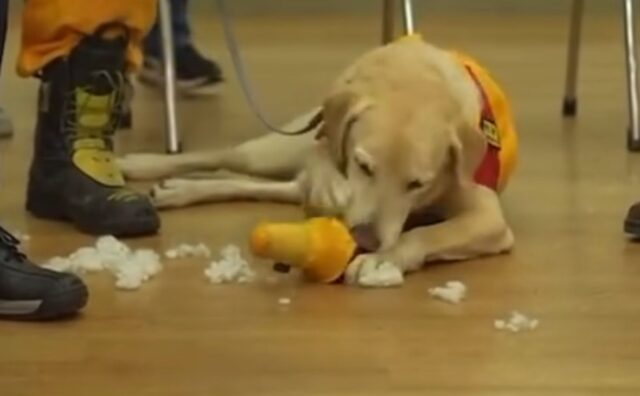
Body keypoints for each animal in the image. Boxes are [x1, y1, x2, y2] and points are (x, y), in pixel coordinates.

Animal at [121, 34, 520, 282]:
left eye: (417, 183)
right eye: (363, 165)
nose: (366, 239)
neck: (412, 79)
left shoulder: (487, 217)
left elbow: (424, 234)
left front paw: (383, 258)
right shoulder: (328, 136)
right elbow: (325, 158)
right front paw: (333, 185)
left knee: (269, 184)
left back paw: (180, 188)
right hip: (273, 150)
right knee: (230, 158)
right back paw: (143, 164)